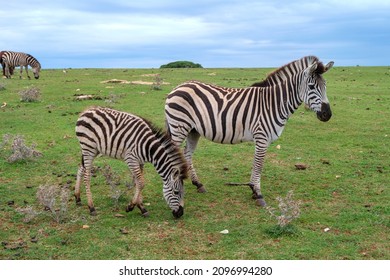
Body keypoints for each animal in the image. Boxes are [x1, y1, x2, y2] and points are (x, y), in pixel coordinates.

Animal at [163, 55, 334, 207]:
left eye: (325, 85)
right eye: (311, 87)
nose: (327, 115)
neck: (273, 103)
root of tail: (178, 87)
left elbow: (256, 164)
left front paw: (253, 190)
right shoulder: (262, 137)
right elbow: (258, 165)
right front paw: (258, 193)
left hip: (193, 130)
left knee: (187, 154)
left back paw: (198, 184)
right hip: (179, 126)